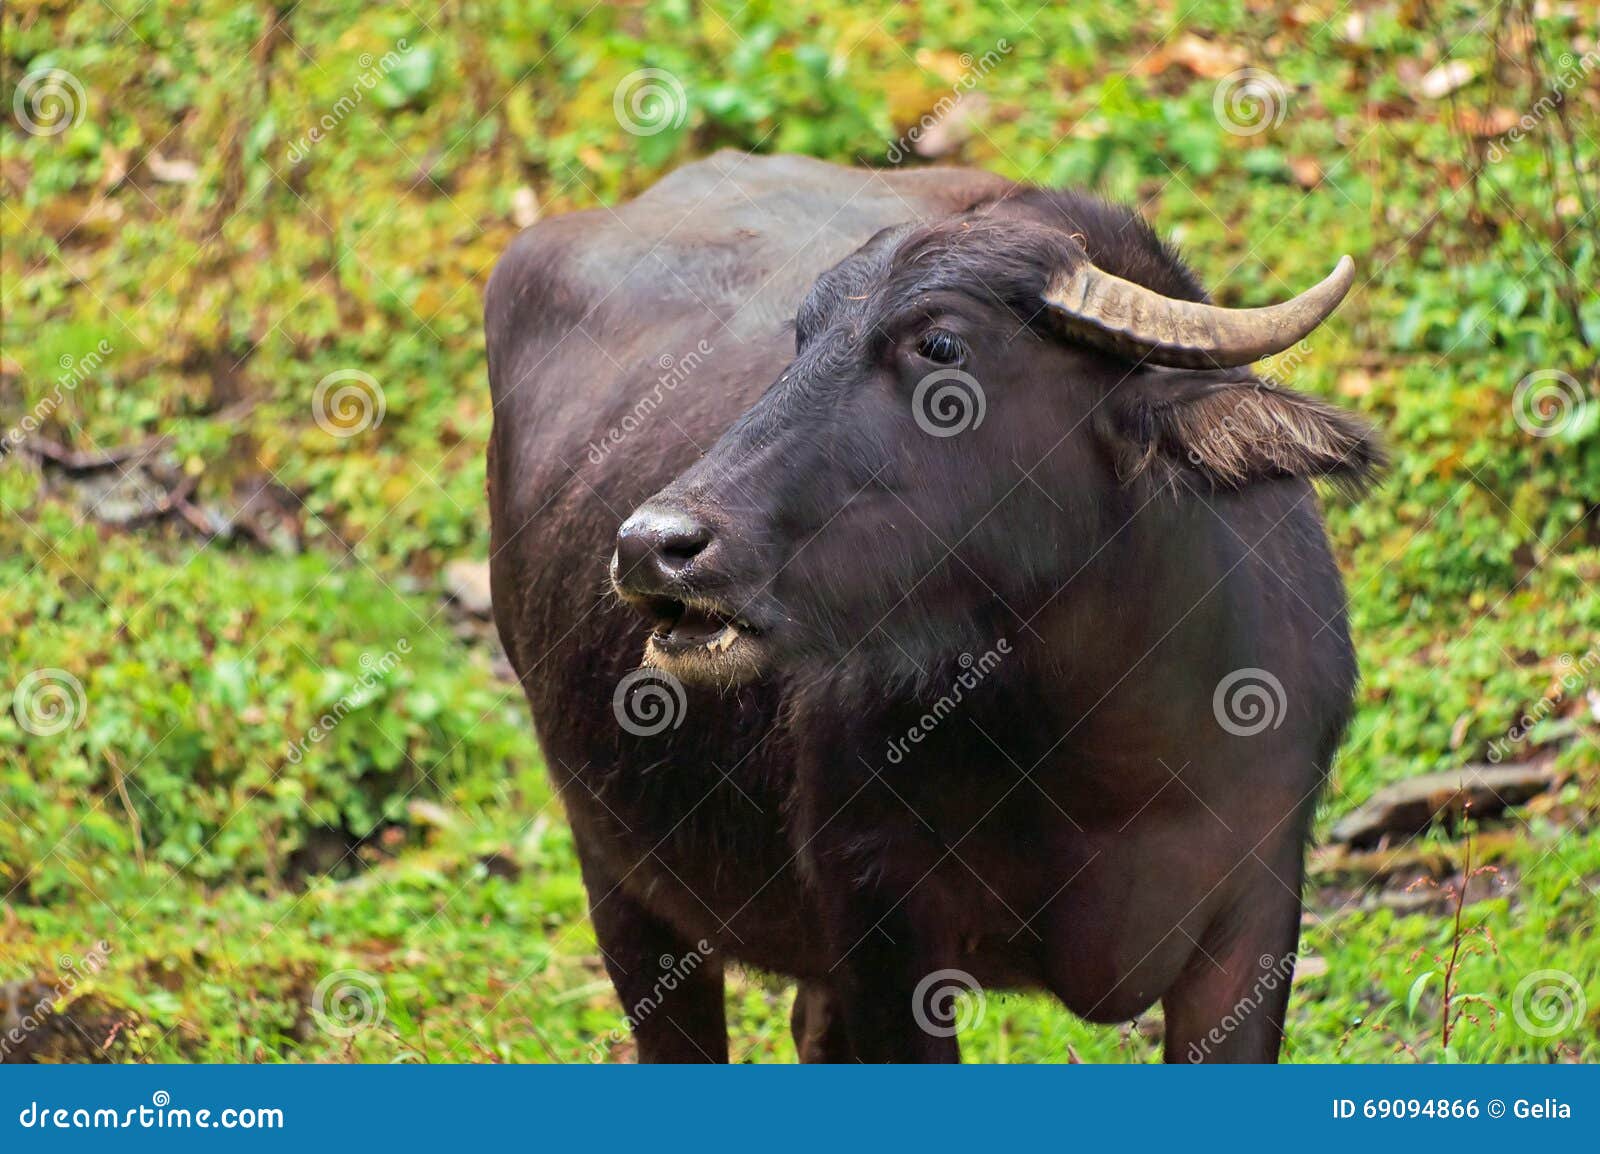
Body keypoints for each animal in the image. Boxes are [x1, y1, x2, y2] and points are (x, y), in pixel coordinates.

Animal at [484, 151, 1381, 1062]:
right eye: (803, 337)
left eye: (941, 344)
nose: (653, 544)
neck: (1116, 767)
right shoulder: (885, 934)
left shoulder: (1255, 919)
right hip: (618, 875)